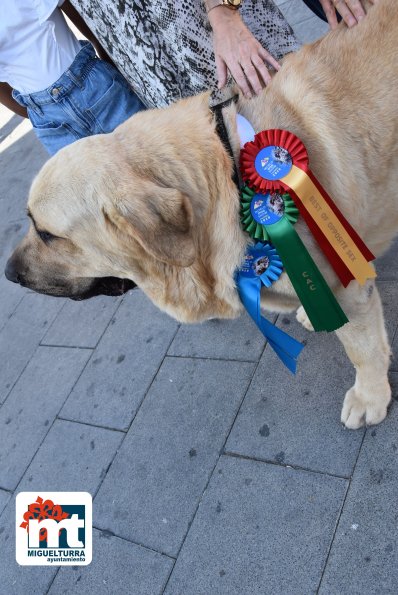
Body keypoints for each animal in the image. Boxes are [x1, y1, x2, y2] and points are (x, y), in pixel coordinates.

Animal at [6, 0, 398, 428]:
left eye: (47, 234)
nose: (8, 274)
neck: (229, 172)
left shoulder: (350, 290)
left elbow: (362, 347)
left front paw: (370, 395)